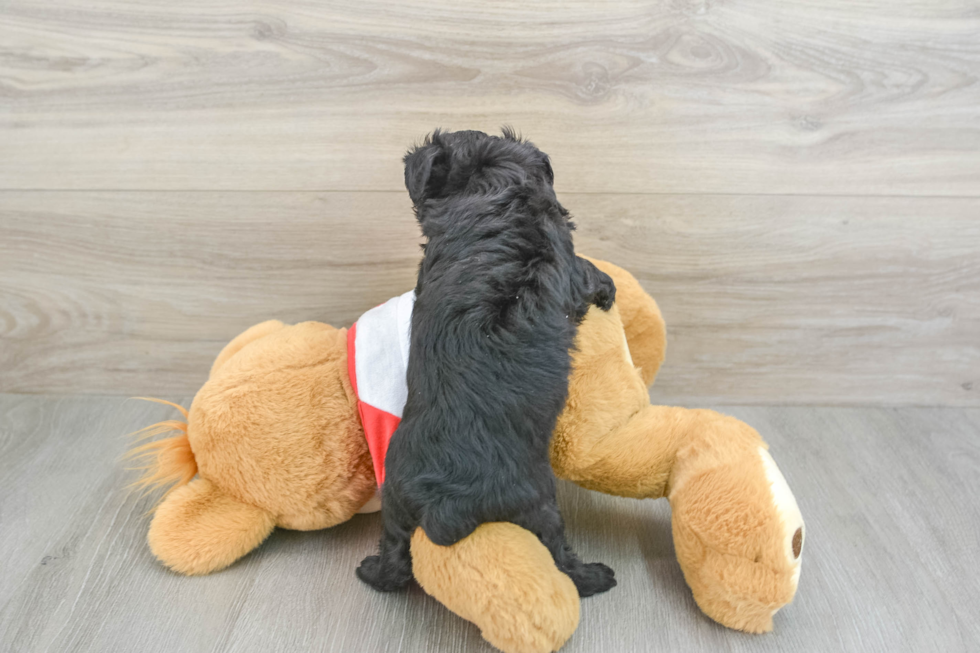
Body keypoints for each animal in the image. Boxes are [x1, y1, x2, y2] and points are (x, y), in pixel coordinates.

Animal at [358, 129, 620, 596]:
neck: (493, 192)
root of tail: (446, 502)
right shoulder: (567, 265)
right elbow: (587, 270)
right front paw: (608, 288)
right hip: (536, 503)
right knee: (559, 557)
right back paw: (594, 576)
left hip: (397, 499)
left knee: (396, 560)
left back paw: (370, 570)